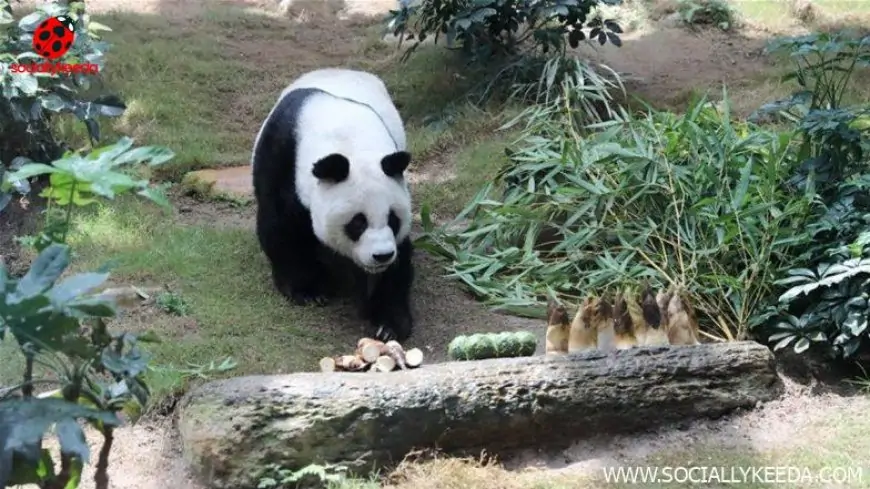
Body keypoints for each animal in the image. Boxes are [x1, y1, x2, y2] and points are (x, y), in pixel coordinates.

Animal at [252, 67, 418, 344]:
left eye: (393, 219)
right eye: (358, 222)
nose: (382, 255)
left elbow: (398, 261)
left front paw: (388, 323)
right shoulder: (282, 160)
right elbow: (281, 228)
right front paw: (309, 291)